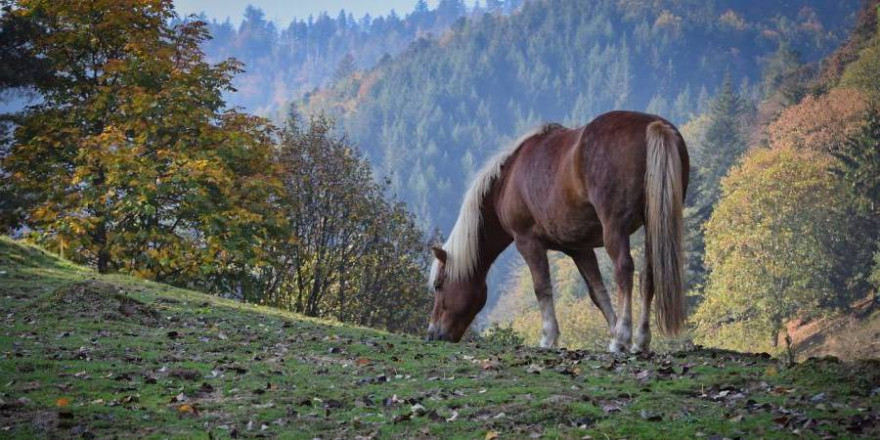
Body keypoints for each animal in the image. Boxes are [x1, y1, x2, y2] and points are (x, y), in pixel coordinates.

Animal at [430, 111, 692, 352]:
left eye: (439, 285)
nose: (434, 334)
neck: (507, 179)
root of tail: (653, 125)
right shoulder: (580, 249)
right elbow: (598, 292)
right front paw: (613, 328)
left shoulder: (528, 242)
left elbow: (542, 288)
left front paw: (549, 337)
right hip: (652, 225)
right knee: (648, 276)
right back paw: (639, 340)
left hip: (615, 229)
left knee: (624, 270)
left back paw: (623, 337)